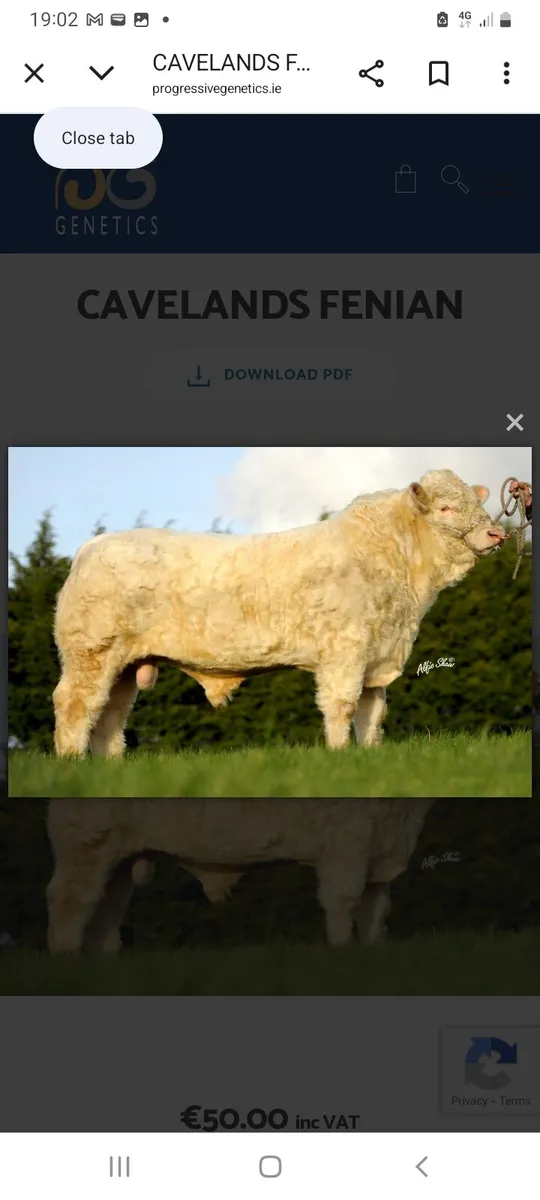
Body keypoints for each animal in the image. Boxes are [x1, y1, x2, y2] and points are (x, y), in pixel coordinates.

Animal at [52, 469, 506, 757]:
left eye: (474, 501)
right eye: (446, 509)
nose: (496, 532)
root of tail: (92, 546)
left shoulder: (376, 657)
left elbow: (372, 714)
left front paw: (368, 754)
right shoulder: (345, 651)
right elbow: (342, 706)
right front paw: (340, 754)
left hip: (125, 665)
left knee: (110, 716)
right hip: (91, 654)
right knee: (76, 705)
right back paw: (71, 762)